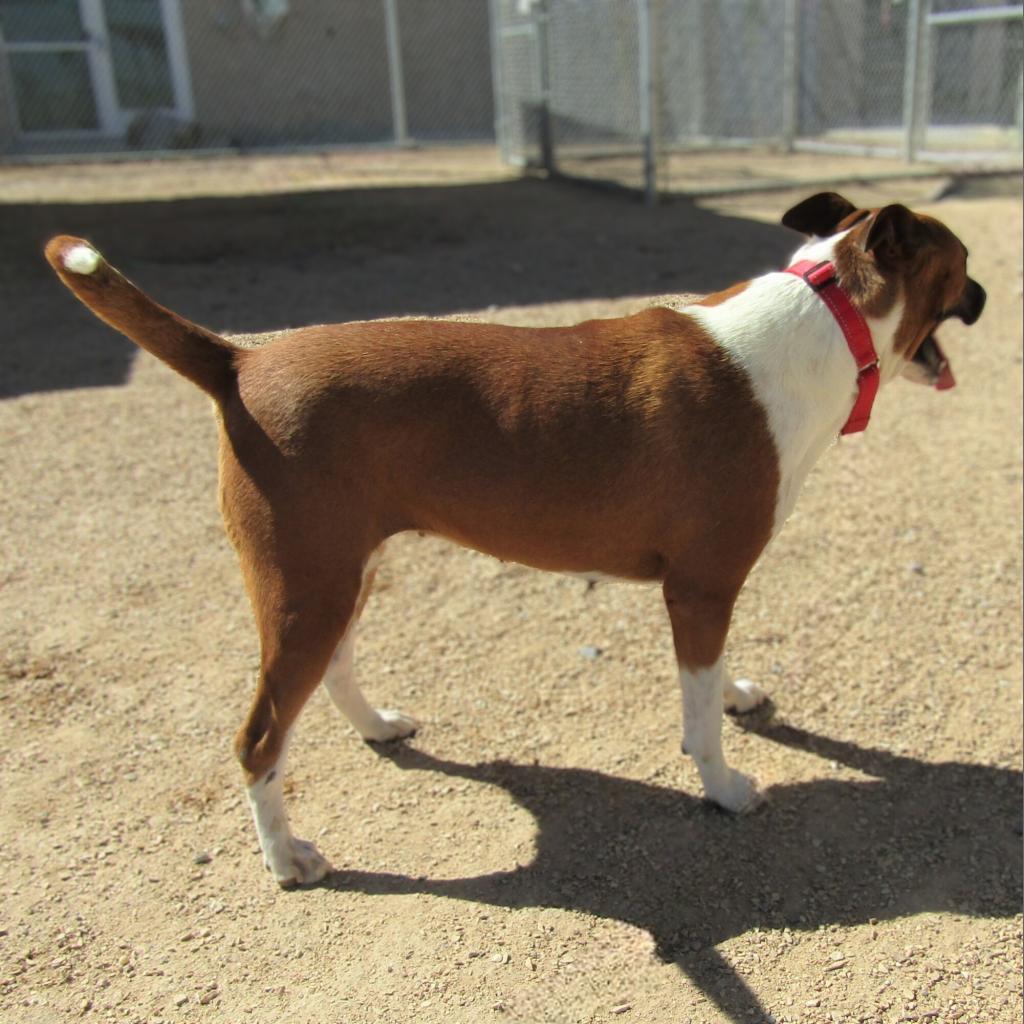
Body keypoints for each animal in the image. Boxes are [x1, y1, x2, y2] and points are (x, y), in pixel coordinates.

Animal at [46, 192, 983, 888]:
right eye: (965, 268)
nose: (981, 299)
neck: (824, 314)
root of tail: (240, 361)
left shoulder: (707, 593)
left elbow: (713, 682)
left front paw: (736, 694)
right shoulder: (701, 587)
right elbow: (698, 719)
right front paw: (721, 786)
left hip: (338, 575)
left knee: (335, 666)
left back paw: (376, 727)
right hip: (304, 590)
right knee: (260, 740)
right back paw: (286, 857)